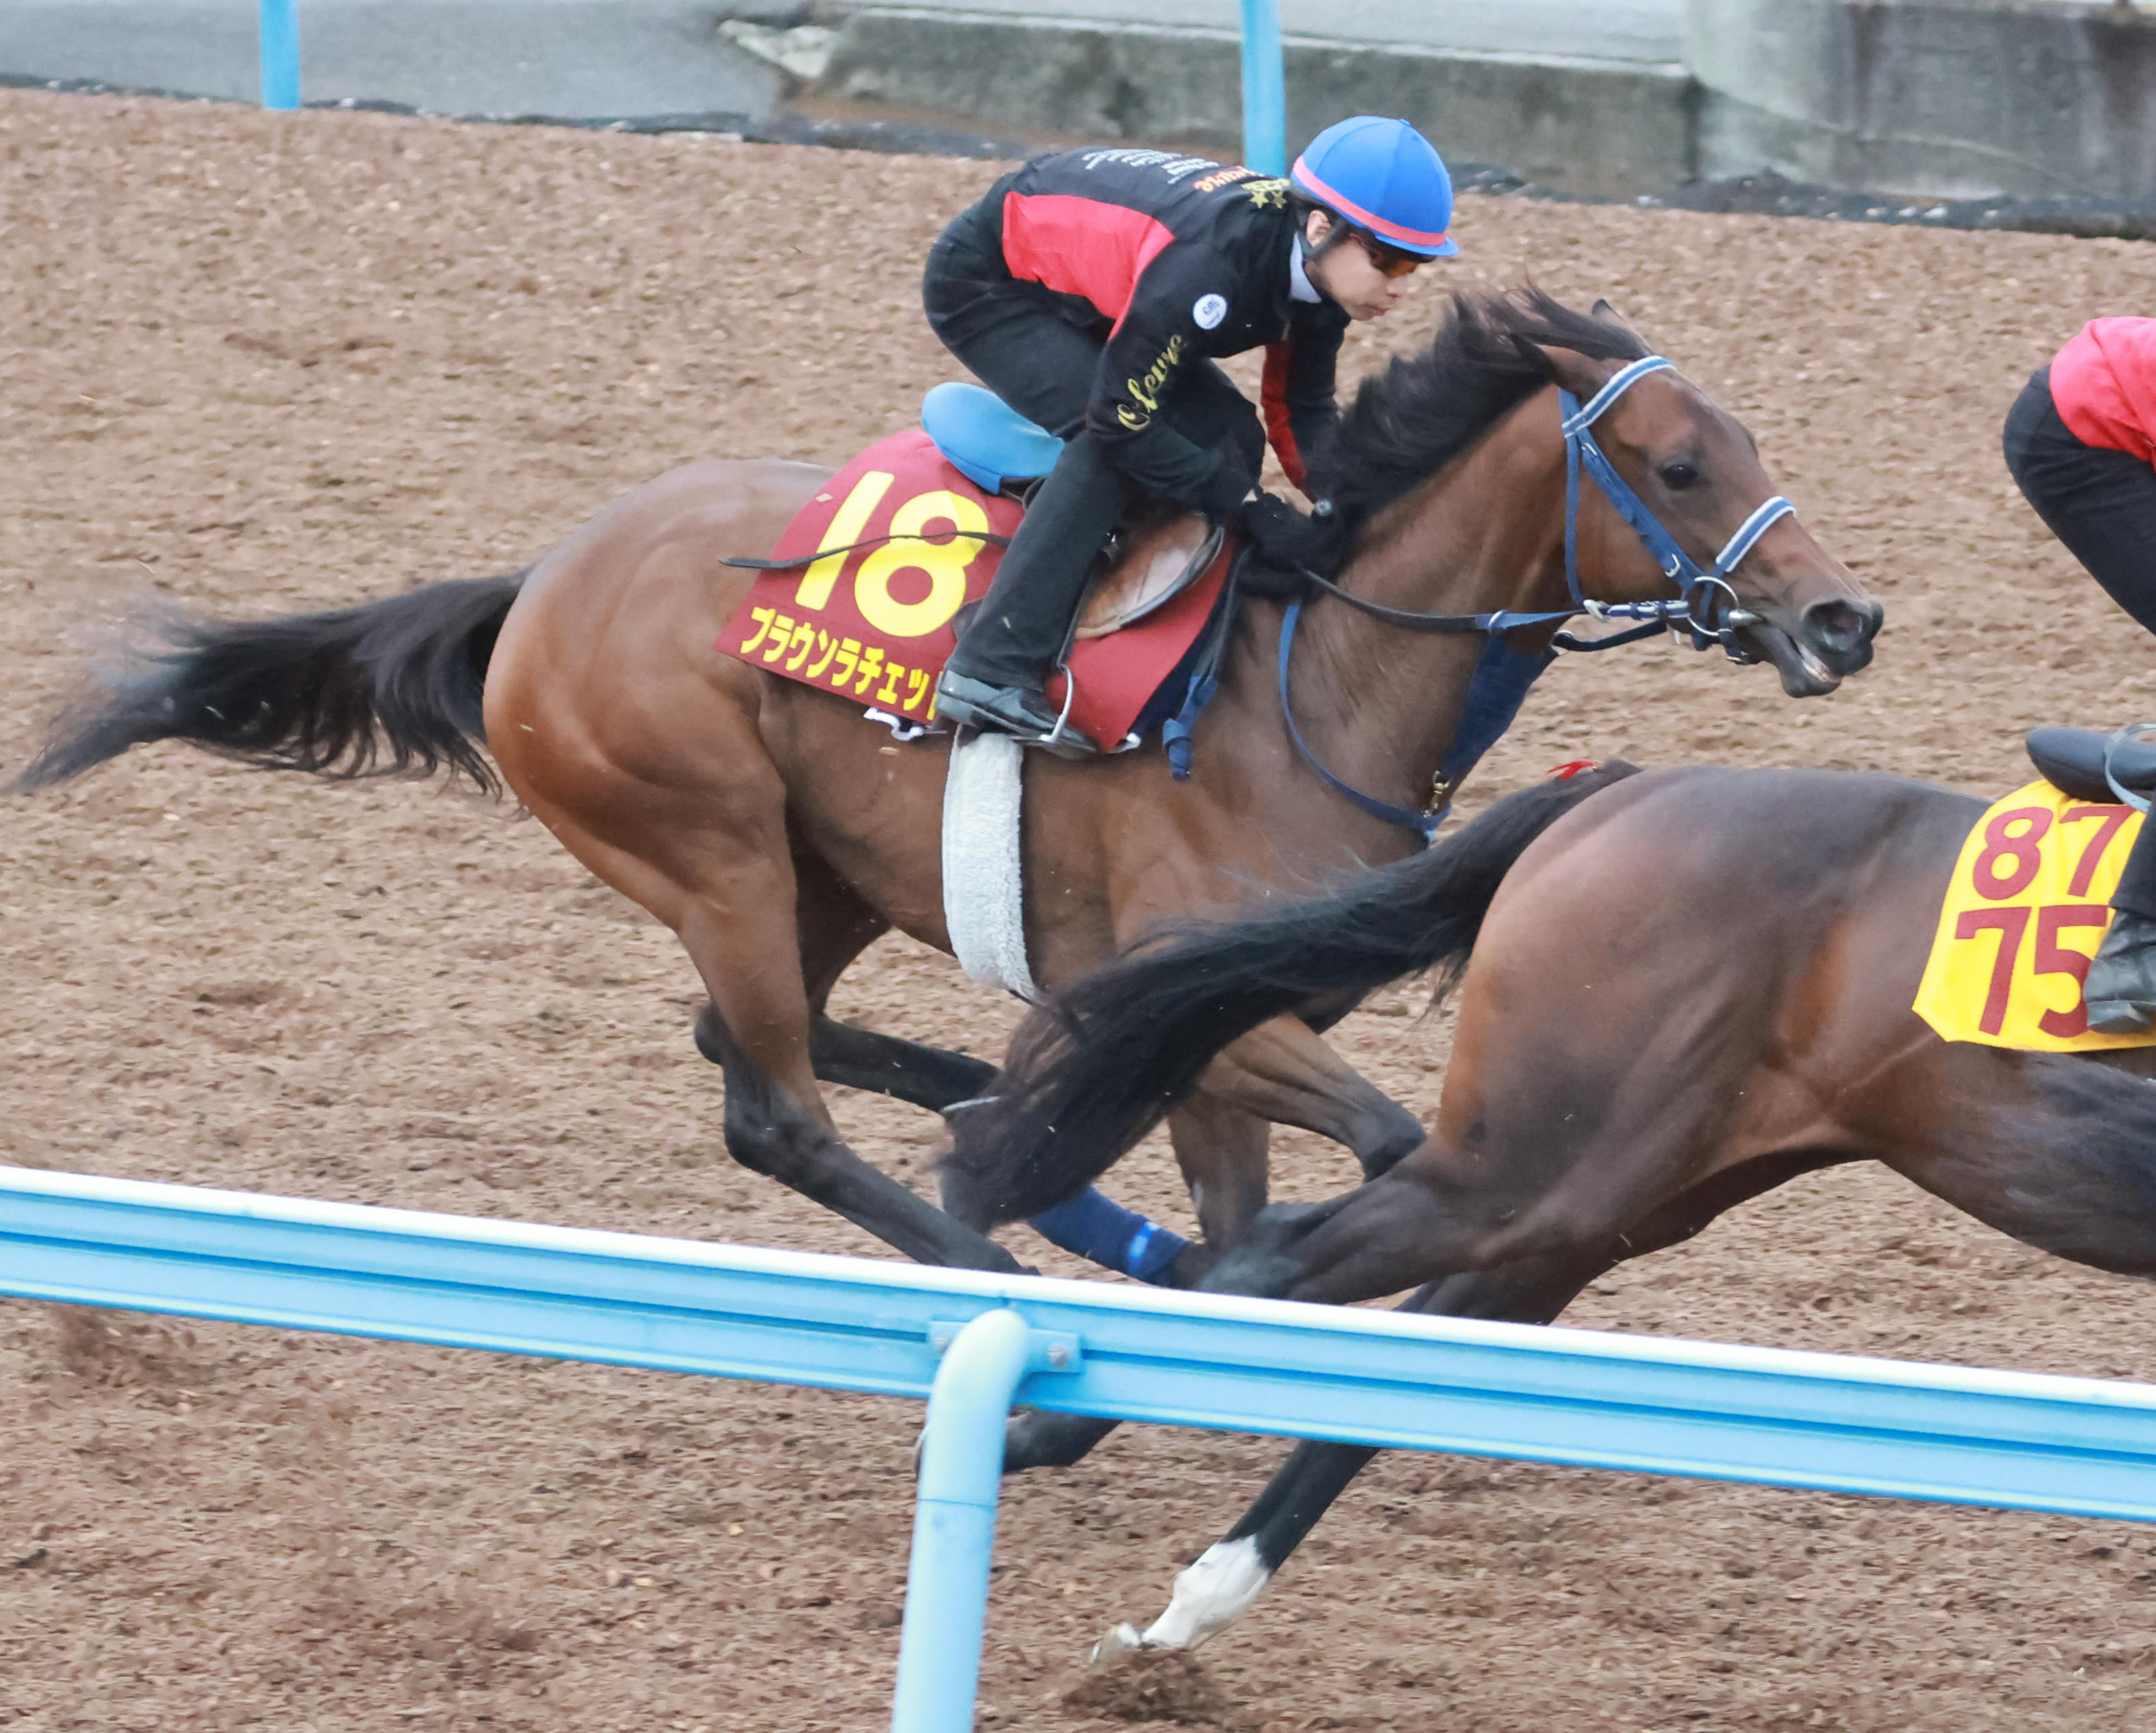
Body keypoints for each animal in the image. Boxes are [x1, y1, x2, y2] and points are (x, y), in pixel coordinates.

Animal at [8, 287, 1879, 1282]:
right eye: (1679, 464)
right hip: (710, 846)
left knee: (764, 1043)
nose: (1841, 617)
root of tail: (542, 578)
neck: (1316, 681)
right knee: (768, 1103)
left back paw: (1001, 1124)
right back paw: (981, 1237)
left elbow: (1242, 1189)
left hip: (816, 872)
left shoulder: (1212, 1028)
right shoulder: (1216, 1000)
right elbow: (1382, 1138)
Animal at [953, 752, 2156, 1650]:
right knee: (1279, 1258)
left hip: (1610, 1192)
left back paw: (1182, 1589)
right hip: (1532, 1168)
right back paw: (1054, 1440)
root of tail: (1625, 790)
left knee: (1407, 1342)